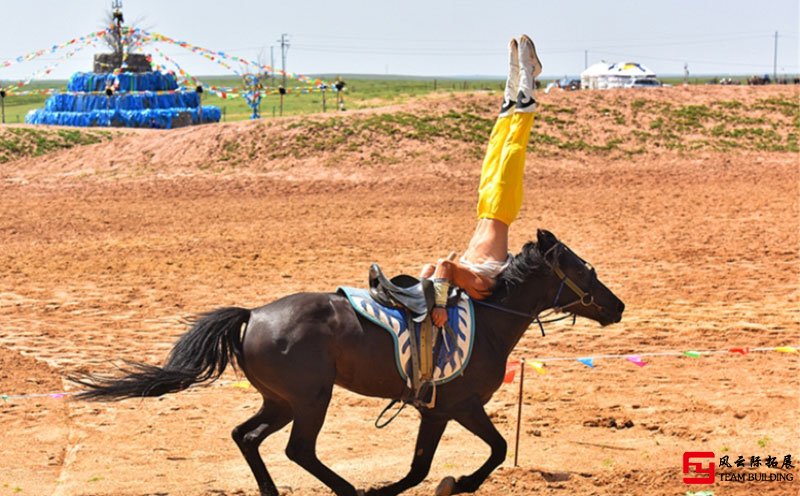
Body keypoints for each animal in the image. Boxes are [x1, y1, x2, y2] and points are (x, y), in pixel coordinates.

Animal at [75, 231, 624, 494]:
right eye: (586, 269)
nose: (616, 306)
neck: (488, 319)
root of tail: (253, 315)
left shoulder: (441, 410)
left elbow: (443, 462)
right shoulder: (455, 407)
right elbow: (470, 456)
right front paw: (457, 483)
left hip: (281, 401)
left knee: (246, 437)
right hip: (310, 401)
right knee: (298, 450)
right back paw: (350, 491)